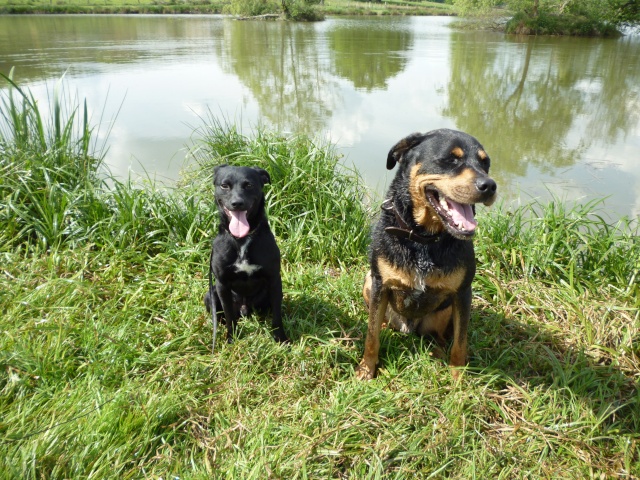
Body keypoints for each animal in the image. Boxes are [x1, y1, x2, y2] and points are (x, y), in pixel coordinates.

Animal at [204, 164, 288, 348]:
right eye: (224, 185)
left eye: (248, 185)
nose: (237, 203)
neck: (242, 239)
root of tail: (244, 309)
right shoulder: (221, 284)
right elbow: (229, 316)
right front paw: (231, 338)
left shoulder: (274, 280)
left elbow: (277, 315)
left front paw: (280, 338)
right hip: (210, 294)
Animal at [358, 129, 498, 380]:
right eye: (451, 159)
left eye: (485, 163)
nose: (490, 185)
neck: (424, 238)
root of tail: (409, 327)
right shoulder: (380, 284)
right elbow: (371, 335)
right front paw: (366, 369)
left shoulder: (463, 292)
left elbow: (460, 342)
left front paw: (458, 376)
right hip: (368, 282)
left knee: (440, 337)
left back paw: (438, 351)